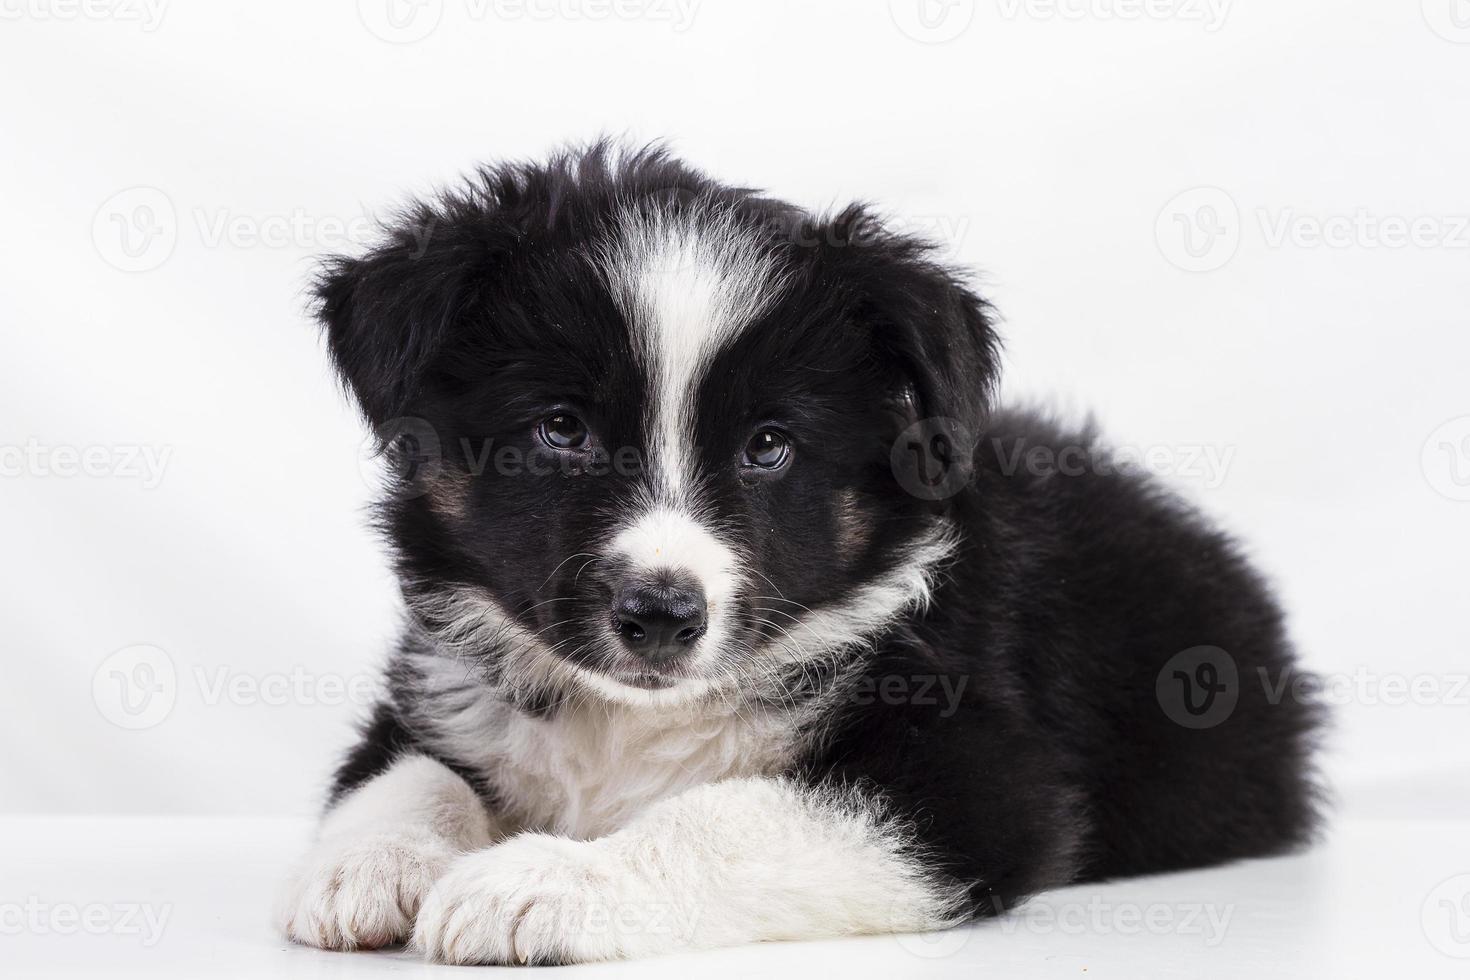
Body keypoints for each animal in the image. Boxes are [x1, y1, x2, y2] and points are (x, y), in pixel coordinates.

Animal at [276, 143, 1323, 963]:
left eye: (769, 446)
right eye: (561, 429)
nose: (661, 616)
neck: (630, 721)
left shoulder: (976, 773)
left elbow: (727, 816)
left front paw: (545, 883)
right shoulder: (436, 680)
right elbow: (405, 770)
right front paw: (369, 866)